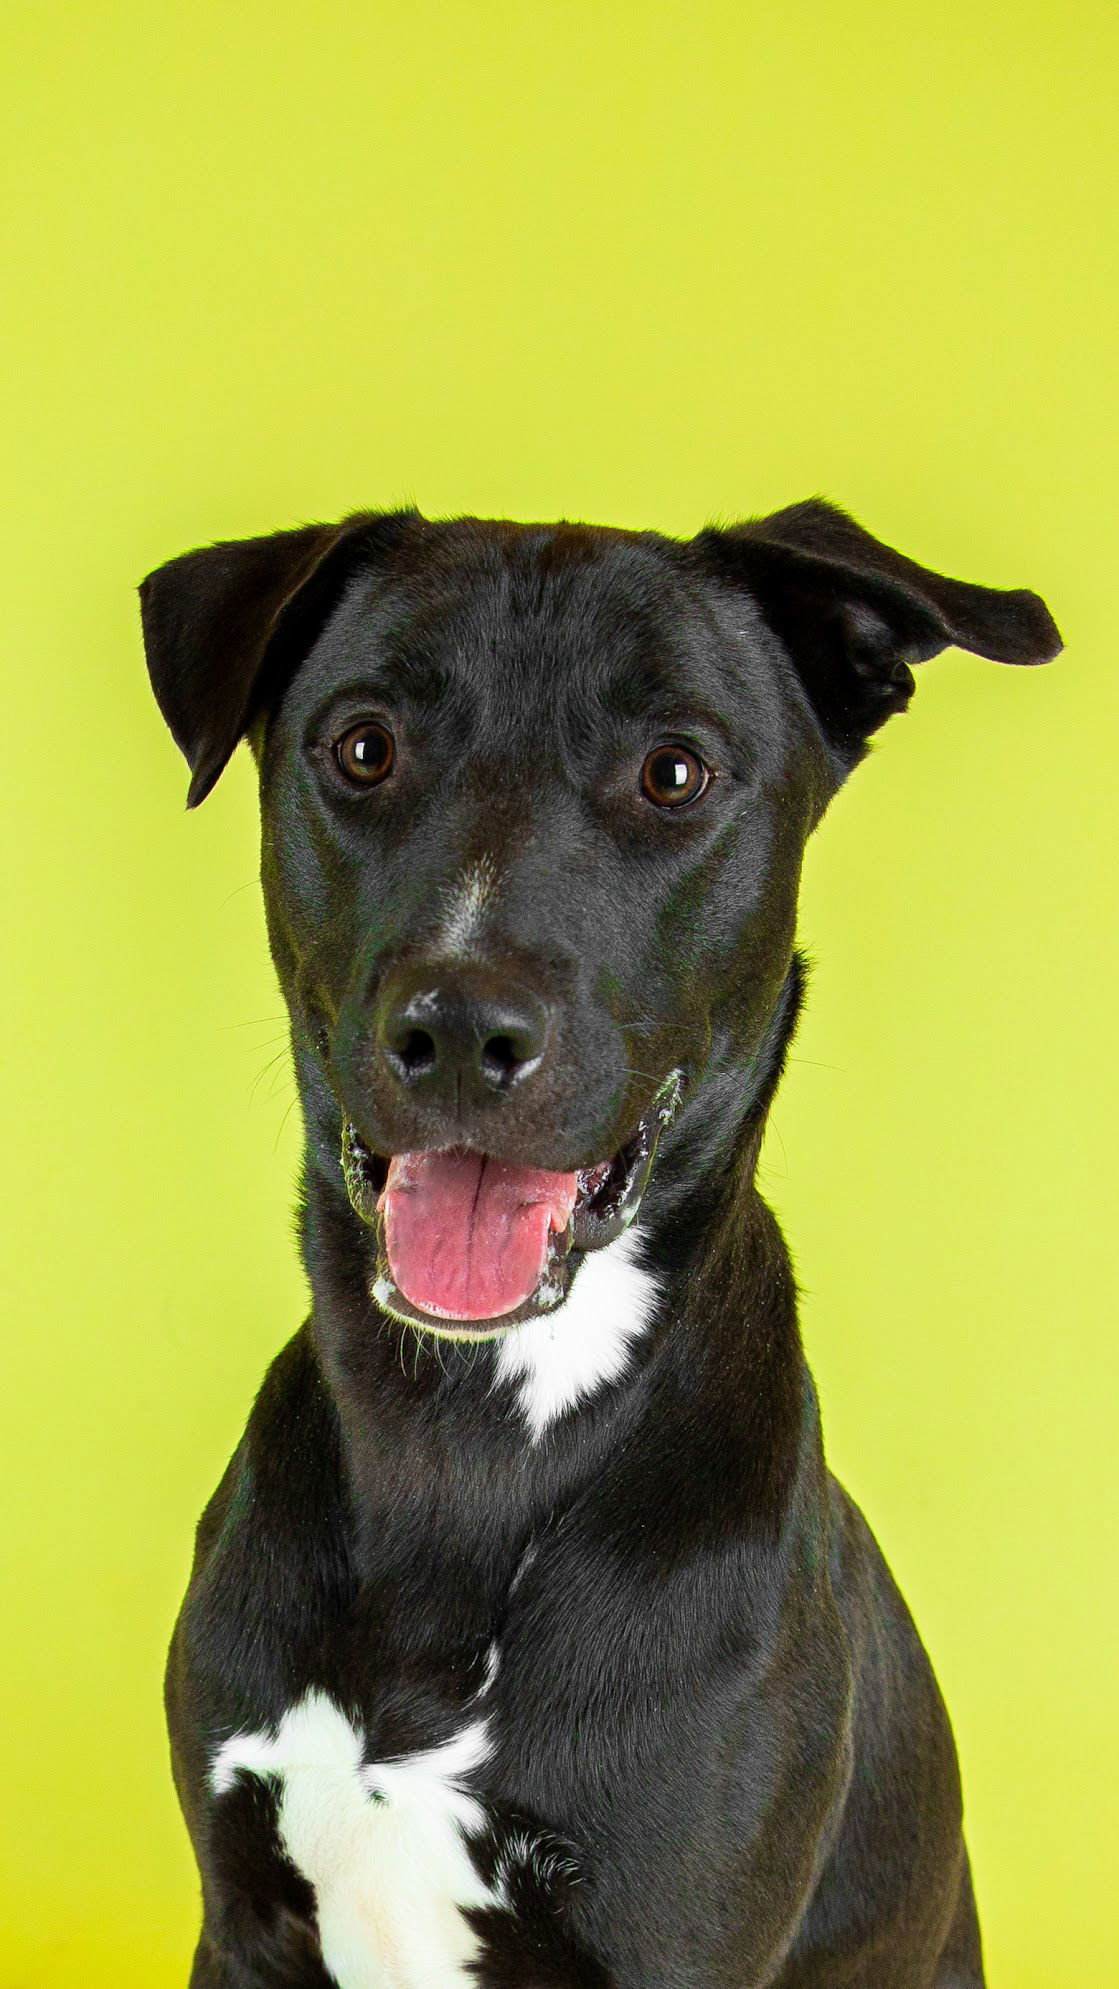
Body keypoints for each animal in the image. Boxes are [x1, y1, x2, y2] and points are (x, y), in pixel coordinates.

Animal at [144, 509, 1065, 1989]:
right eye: (364, 747)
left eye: (672, 772)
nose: (462, 1028)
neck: (463, 1438)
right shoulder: (240, 1923)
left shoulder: (675, 1932)